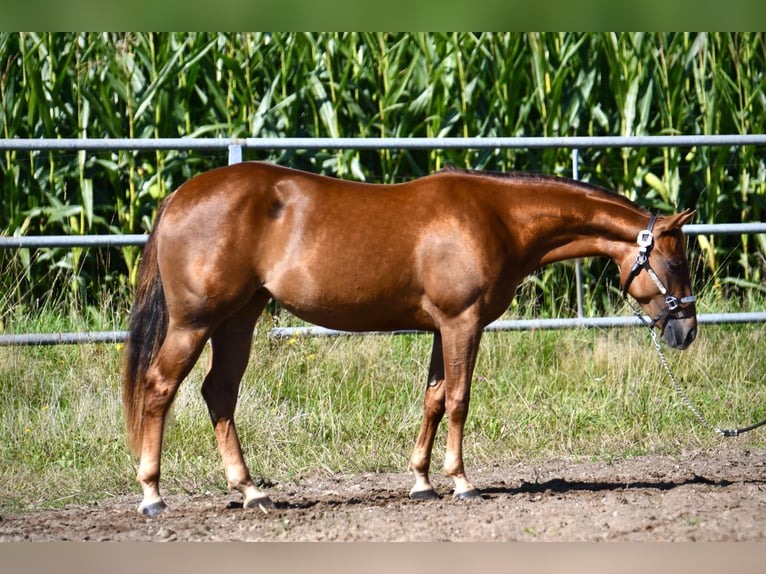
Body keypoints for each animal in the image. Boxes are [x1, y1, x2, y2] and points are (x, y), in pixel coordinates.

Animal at [122, 161, 697, 516]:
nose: (687, 329)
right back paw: (152, 494)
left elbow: (433, 400)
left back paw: (250, 491)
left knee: (219, 393)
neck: (497, 217)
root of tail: (180, 196)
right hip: (195, 322)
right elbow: (460, 400)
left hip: (239, 319)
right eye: (675, 262)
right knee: (159, 387)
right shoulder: (462, 323)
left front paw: (422, 482)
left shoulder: (442, 329)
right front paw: (461, 482)